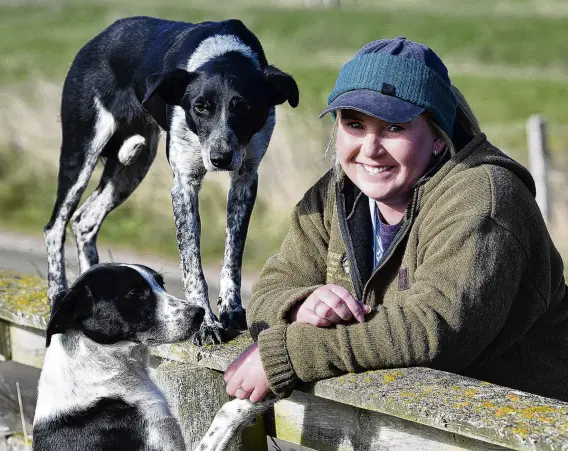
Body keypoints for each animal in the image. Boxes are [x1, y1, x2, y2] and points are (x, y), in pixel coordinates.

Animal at [44, 15, 300, 344]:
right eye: (200, 107)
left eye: (244, 107)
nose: (220, 159)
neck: (223, 54)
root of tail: (98, 38)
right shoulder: (185, 185)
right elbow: (192, 264)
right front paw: (206, 324)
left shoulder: (245, 179)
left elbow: (233, 253)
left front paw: (231, 309)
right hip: (81, 150)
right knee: (56, 225)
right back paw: (58, 293)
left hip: (134, 165)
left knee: (85, 220)